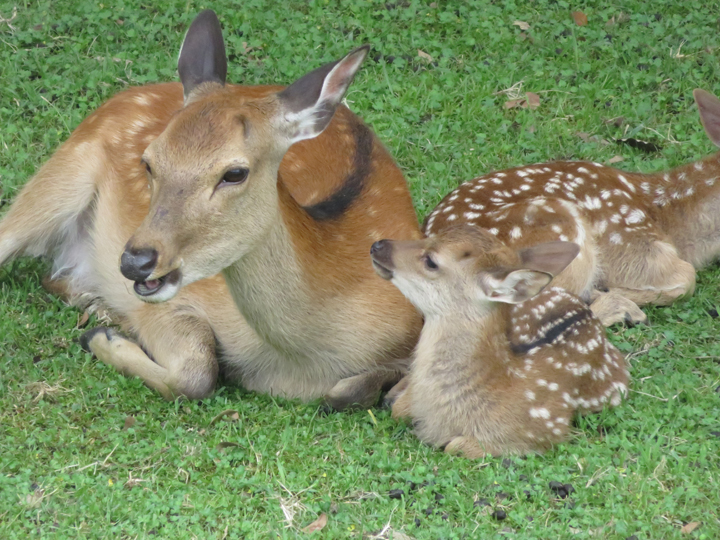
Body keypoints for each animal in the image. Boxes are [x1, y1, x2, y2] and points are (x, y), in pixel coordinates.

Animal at [0, 10, 422, 408]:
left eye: (234, 173)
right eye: (149, 162)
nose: (135, 261)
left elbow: (356, 391)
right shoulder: (174, 301)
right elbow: (197, 372)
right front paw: (100, 338)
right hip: (63, 171)